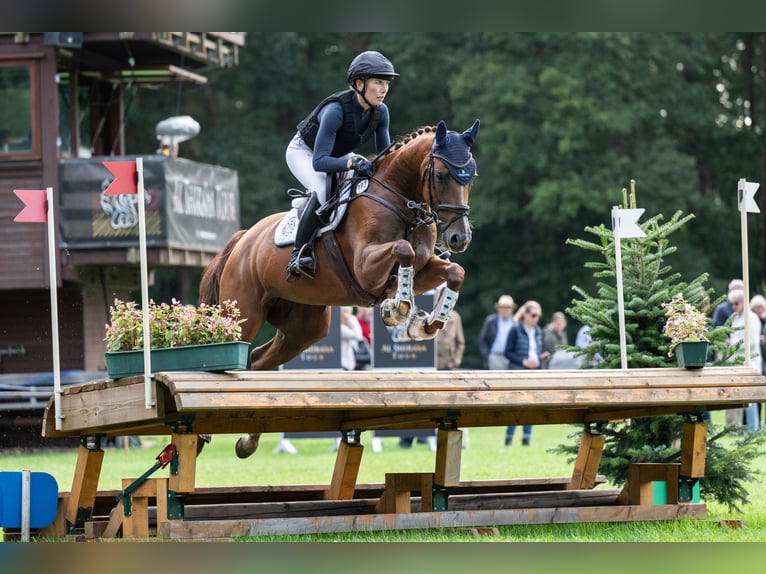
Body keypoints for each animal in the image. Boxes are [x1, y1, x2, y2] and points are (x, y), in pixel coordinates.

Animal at [198, 119, 480, 458]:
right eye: (440, 175)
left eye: (471, 177)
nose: (459, 238)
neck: (399, 201)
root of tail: (243, 241)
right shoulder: (366, 267)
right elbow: (403, 250)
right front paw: (397, 308)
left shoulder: (425, 268)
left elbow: (454, 271)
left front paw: (426, 323)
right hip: (242, 315)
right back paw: (205, 434)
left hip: (306, 327)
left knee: (260, 360)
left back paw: (247, 441)